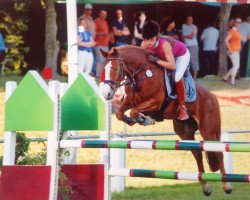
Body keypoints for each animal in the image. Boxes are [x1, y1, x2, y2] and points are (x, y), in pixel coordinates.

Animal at [99, 45, 232, 195]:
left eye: (116, 69)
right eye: (103, 69)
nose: (106, 94)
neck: (142, 74)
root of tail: (213, 97)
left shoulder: (155, 102)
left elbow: (134, 111)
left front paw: (146, 120)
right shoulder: (130, 100)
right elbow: (120, 113)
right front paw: (133, 120)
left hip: (207, 130)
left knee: (219, 152)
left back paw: (227, 185)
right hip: (185, 131)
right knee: (197, 153)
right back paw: (206, 187)